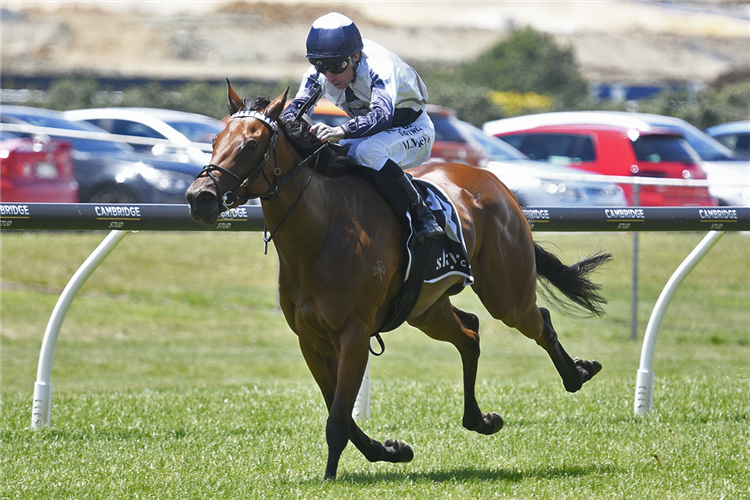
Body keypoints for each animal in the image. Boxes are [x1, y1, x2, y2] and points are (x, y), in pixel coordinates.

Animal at [187, 84, 612, 478]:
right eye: (215, 140)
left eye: (250, 144)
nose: (198, 197)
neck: (321, 234)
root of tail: (493, 181)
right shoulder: (312, 340)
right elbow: (342, 414)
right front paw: (391, 450)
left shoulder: (354, 334)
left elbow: (338, 418)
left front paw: (331, 475)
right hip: (424, 309)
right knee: (470, 332)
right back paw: (481, 419)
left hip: (505, 294)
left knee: (538, 320)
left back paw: (576, 373)